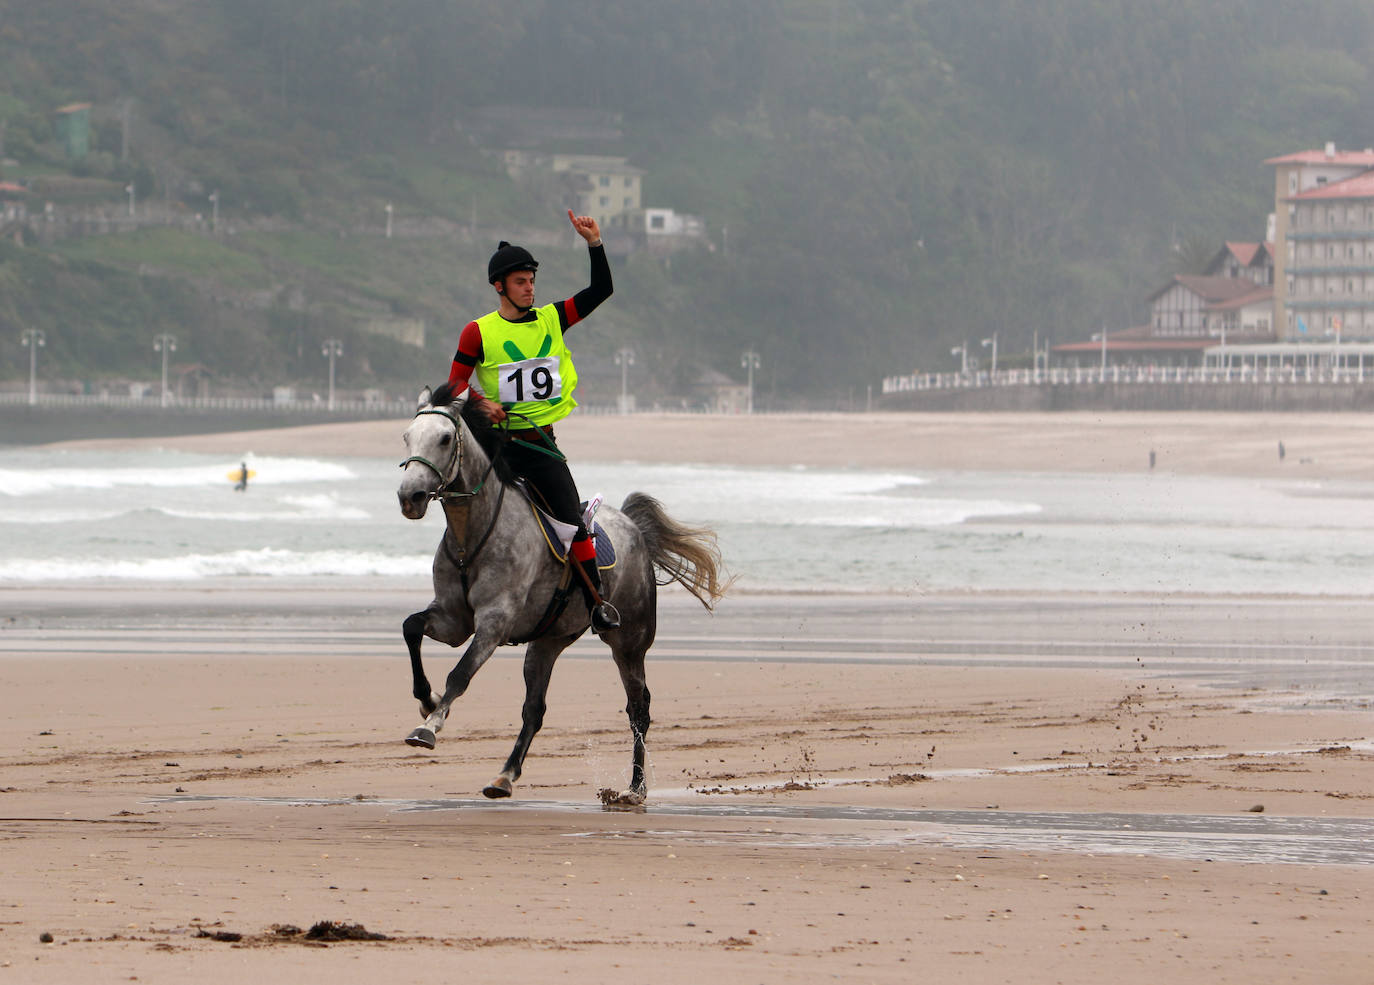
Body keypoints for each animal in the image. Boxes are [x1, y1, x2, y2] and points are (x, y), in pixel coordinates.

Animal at [395, 379, 730, 802]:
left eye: (443, 438)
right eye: (407, 436)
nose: (409, 497)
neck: (473, 534)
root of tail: (634, 529)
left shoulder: (493, 623)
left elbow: (460, 674)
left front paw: (429, 726)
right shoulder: (453, 620)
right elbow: (411, 627)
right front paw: (428, 701)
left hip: (628, 643)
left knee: (638, 709)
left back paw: (635, 787)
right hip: (546, 642)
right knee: (534, 710)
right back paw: (504, 776)